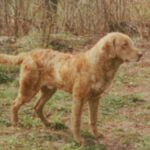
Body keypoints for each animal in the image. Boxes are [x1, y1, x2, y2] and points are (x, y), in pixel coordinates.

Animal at [0, 32, 142, 144]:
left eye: (131, 43)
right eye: (124, 45)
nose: (141, 54)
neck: (98, 65)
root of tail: (27, 53)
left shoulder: (95, 98)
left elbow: (93, 119)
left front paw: (96, 135)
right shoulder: (78, 97)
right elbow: (76, 121)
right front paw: (78, 140)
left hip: (49, 91)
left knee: (37, 107)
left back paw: (48, 124)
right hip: (28, 90)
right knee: (14, 104)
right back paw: (15, 123)